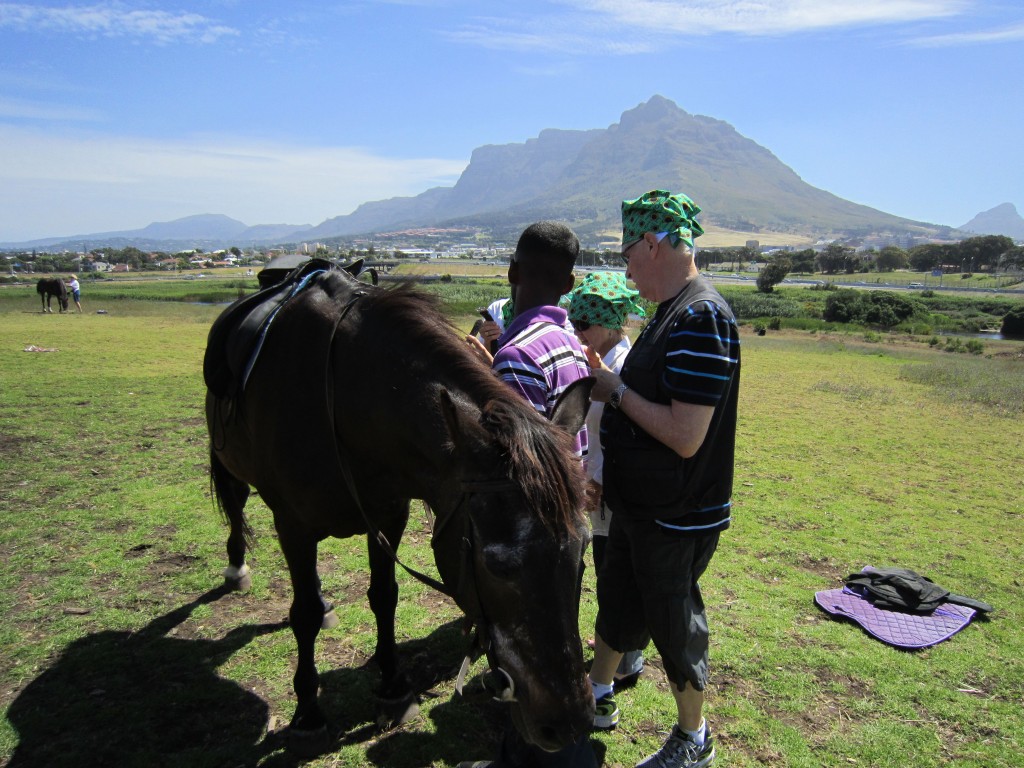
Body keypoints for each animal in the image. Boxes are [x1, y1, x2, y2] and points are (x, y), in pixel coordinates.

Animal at [201, 266, 593, 757]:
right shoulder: (293, 525)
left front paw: (392, 688)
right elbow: (303, 615)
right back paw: (237, 568)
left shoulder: (388, 516)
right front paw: (308, 714)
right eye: (497, 565)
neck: (343, 399)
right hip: (229, 464)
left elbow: (384, 596)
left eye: (582, 552)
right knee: (236, 508)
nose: (569, 724)